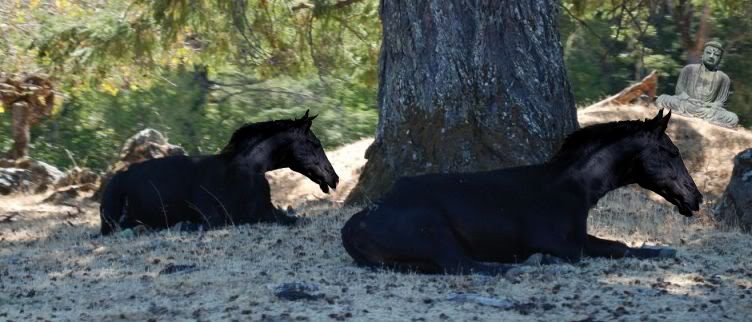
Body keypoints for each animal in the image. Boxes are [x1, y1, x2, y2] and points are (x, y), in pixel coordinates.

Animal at [99, 112, 338, 235]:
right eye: (315, 144)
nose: (334, 178)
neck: (249, 168)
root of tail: (117, 179)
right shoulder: (225, 216)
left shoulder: (266, 211)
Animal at [344, 110, 704, 274]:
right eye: (672, 152)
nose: (696, 198)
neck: (572, 188)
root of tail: (354, 226)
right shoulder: (562, 243)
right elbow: (608, 248)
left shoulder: (578, 237)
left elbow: (621, 245)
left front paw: (662, 250)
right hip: (435, 232)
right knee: (467, 265)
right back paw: (526, 264)